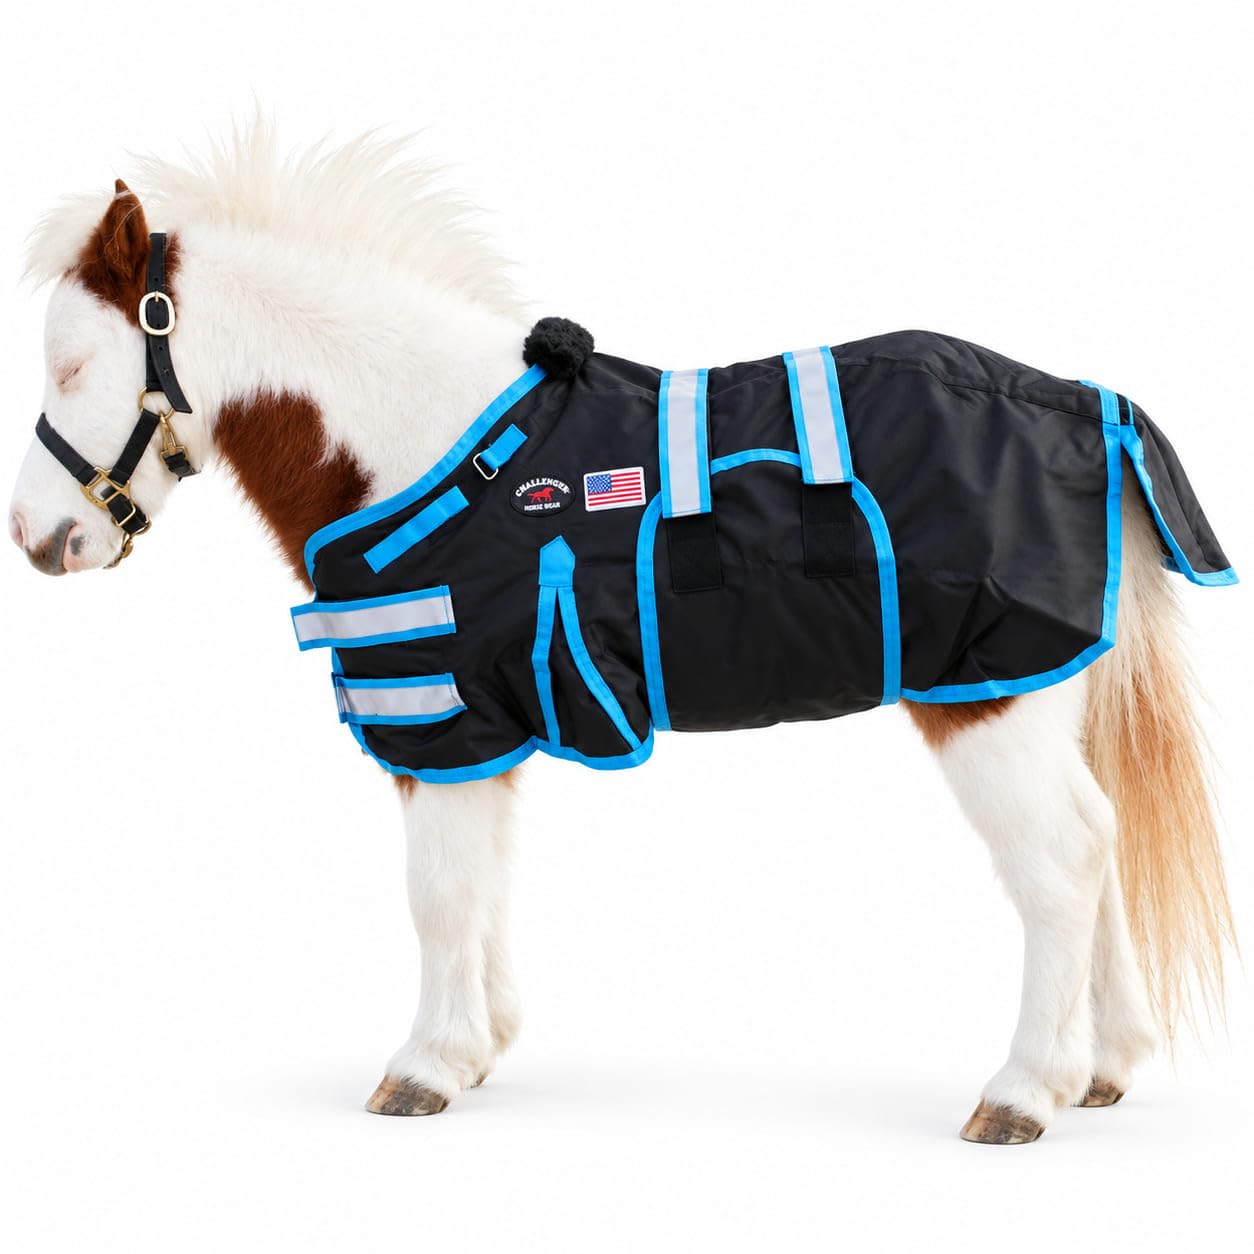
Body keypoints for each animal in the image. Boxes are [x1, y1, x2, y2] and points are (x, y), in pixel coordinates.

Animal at [8, 122, 1236, 1144]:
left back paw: (1024, 1091)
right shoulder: (482, 731)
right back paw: (1100, 1067)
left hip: (987, 699)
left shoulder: (439, 724)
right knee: (1103, 845)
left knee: (1061, 859)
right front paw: (479, 1049)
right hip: (1038, 692)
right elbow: (485, 884)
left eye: (71, 365)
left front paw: (423, 1068)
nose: (37, 538)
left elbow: (438, 893)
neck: (427, 448)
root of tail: (1089, 408)